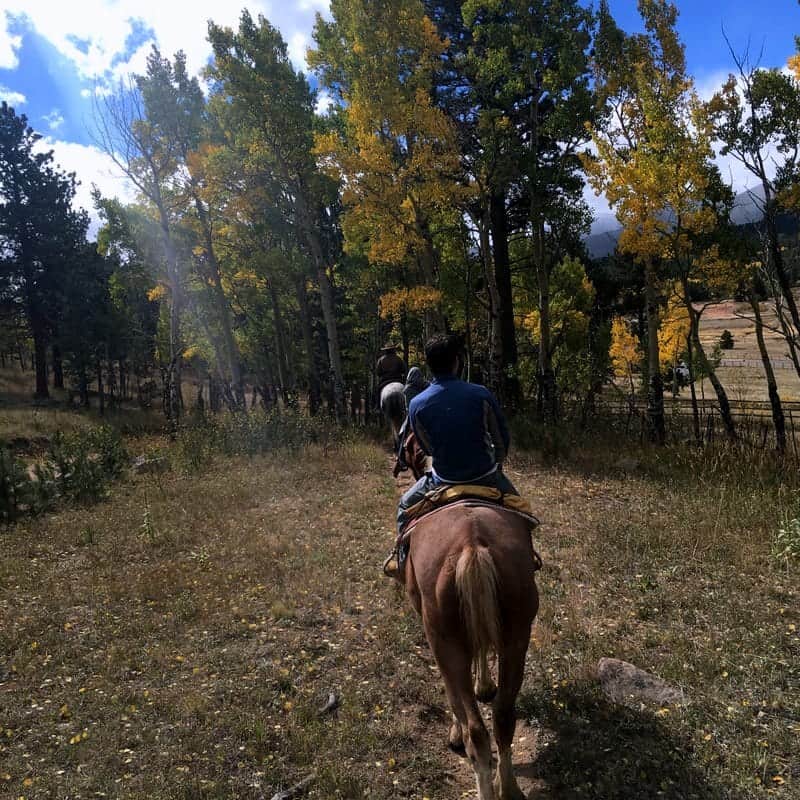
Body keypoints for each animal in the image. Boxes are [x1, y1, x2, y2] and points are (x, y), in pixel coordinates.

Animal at [404, 504, 540, 796]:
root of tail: (472, 546)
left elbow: (454, 697)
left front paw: (455, 732)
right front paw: (485, 686)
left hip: (446, 643)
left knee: (475, 732)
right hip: (516, 639)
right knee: (503, 718)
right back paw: (508, 789)